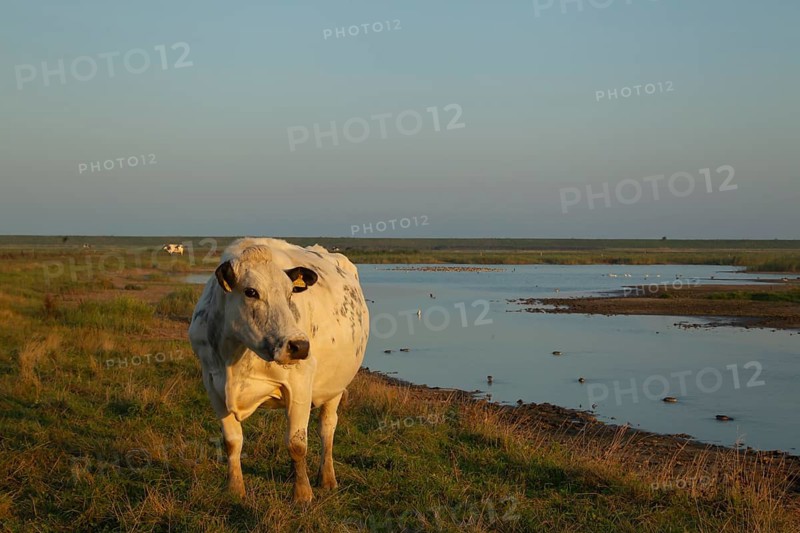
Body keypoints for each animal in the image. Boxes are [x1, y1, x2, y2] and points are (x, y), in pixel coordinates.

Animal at [188, 237, 369, 502]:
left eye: (290, 292)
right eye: (251, 292)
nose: (299, 346)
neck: (235, 356)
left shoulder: (300, 384)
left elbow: (297, 444)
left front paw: (302, 493)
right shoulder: (213, 384)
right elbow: (232, 441)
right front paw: (234, 488)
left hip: (335, 386)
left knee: (327, 428)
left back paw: (326, 478)